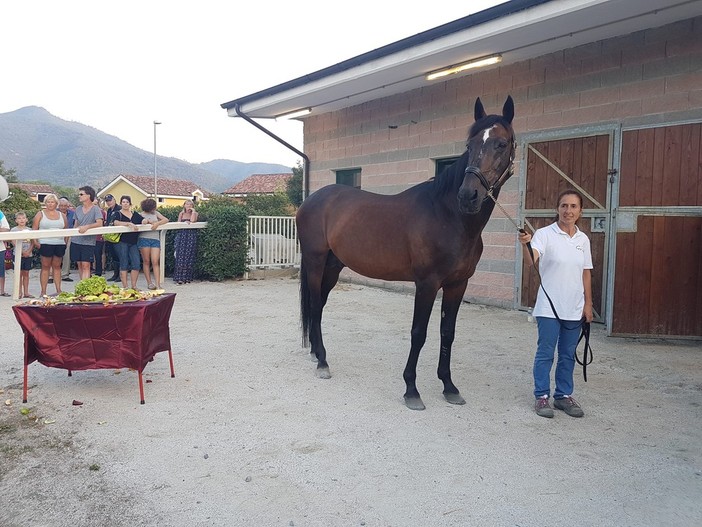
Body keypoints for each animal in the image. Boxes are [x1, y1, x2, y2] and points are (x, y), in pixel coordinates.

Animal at [296, 96, 516, 412]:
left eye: (502, 143)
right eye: (470, 145)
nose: (468, 196)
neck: (449, 215)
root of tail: (310, 201)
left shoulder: (457, 284)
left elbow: (447, 332)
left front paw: (449, 386)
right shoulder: (427, 284)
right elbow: (418, 333)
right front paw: (412, 389)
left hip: (333, 267)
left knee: (320, 306)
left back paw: (316, 353)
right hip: (315, 262)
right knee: (314, 305)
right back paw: (323, 362)